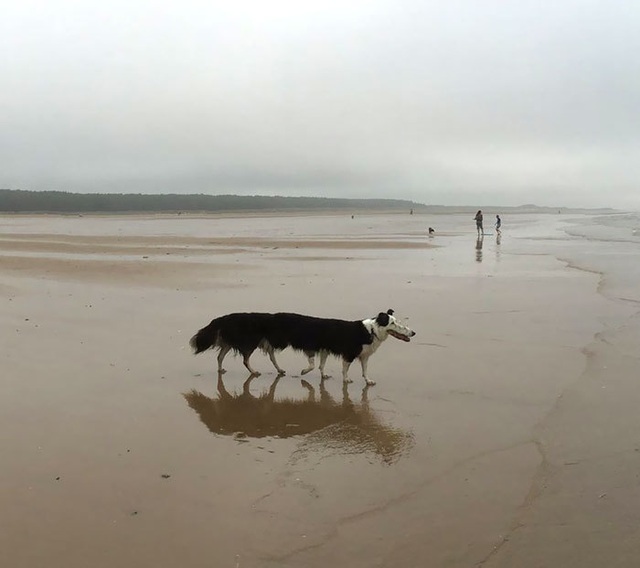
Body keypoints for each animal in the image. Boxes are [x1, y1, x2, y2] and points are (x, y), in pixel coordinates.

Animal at [189, 310, 416, 386]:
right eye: (394, 323)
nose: (413, 333)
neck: (371, 331)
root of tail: (227, 317)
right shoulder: (344, 352)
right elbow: (326, 366)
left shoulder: (357, 355)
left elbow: (362, 369)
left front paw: (368, 381)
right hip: (250, 343)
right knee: (244, 358)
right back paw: (254, 371)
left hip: (252, 342)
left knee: (221, 355)